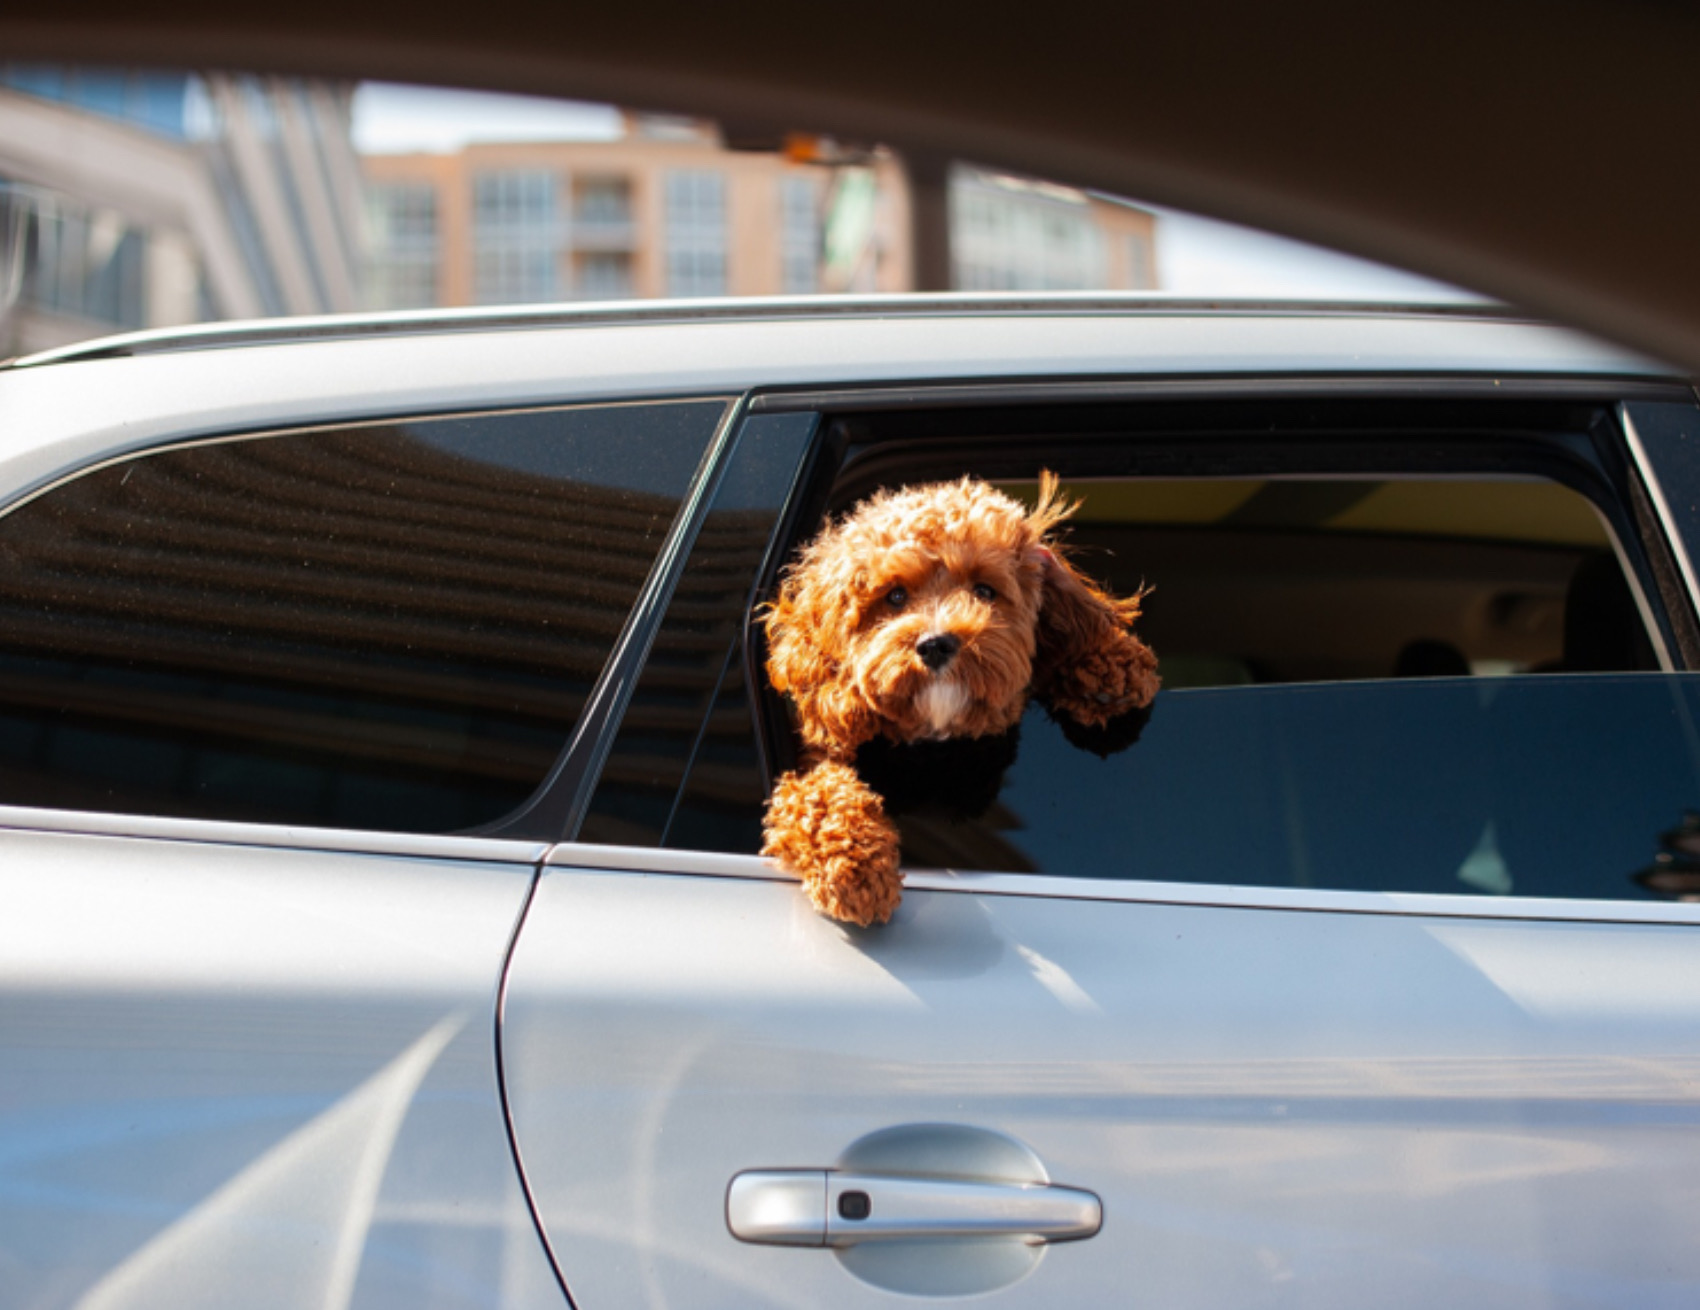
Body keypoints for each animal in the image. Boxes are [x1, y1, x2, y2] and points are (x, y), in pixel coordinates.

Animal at [765, 472, 1162, 924]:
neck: (936, 742)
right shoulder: (813, 763)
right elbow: (817, 795)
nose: (936, 644)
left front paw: (1110, 663)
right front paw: (855, 868)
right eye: (895, 596)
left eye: (984, 590)